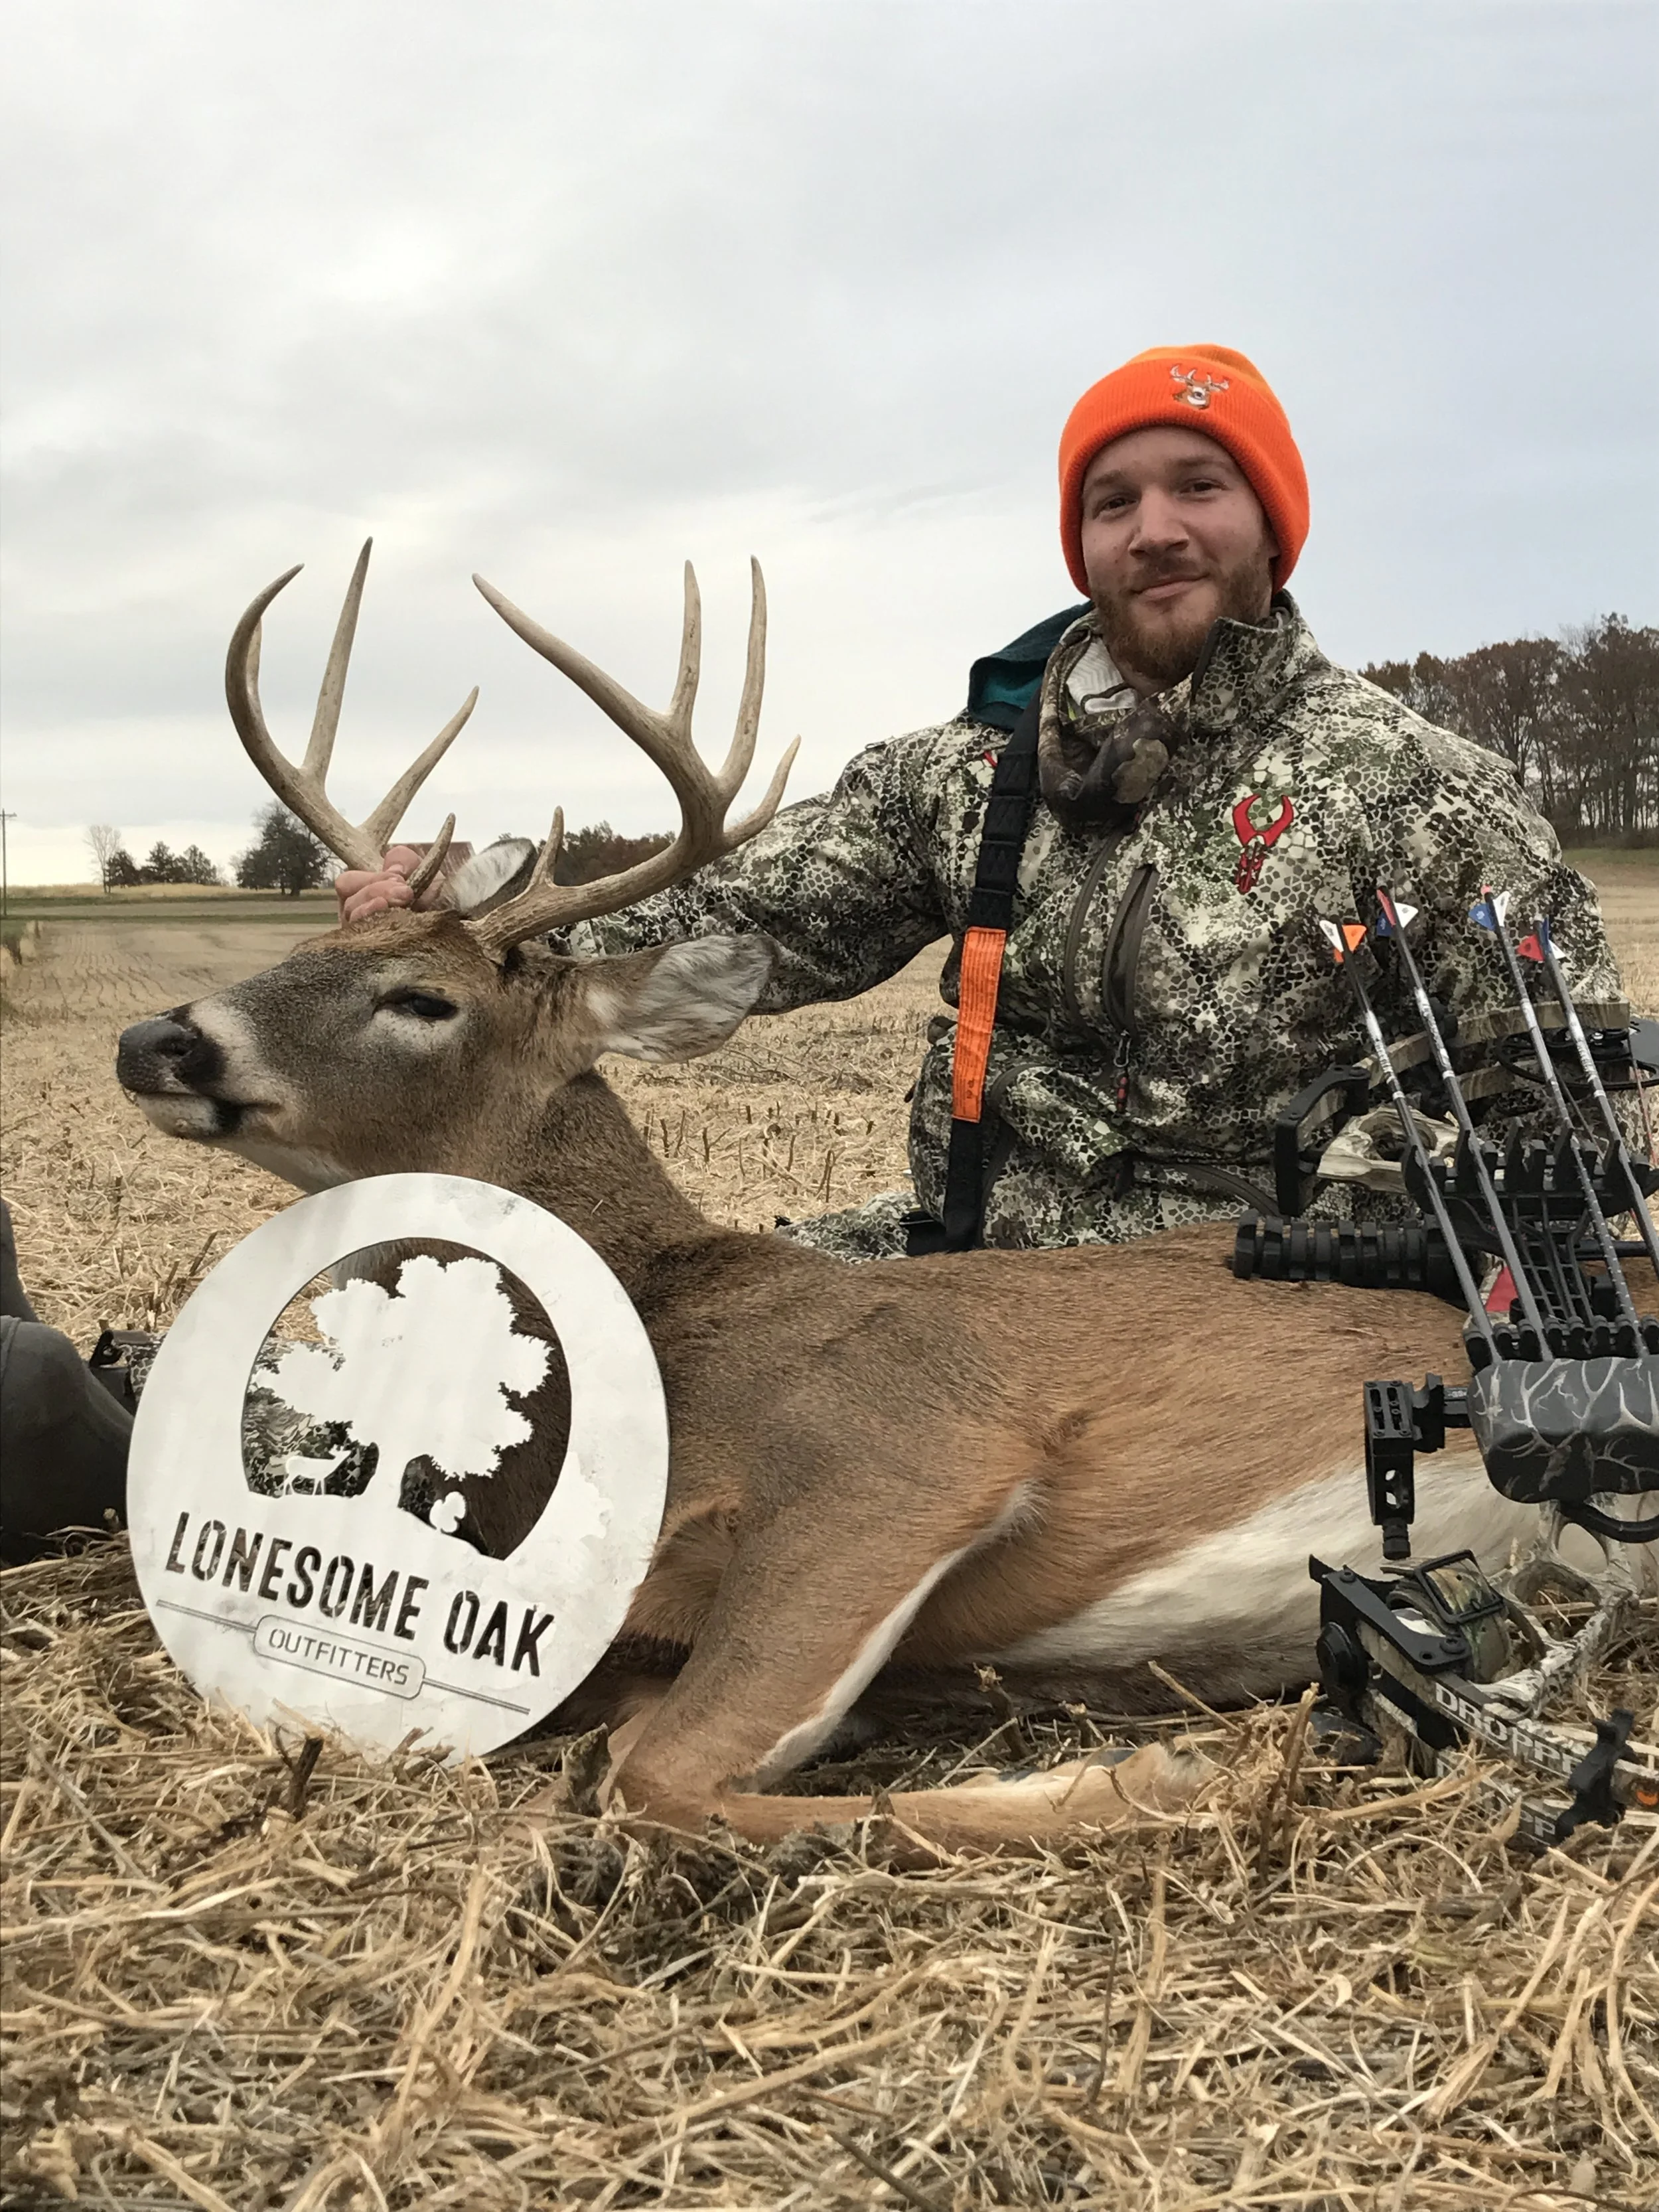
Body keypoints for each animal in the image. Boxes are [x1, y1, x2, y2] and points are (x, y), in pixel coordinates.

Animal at [115, 543, 1608, 1857]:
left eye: (423, 999)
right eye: (316, 940)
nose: (156, 1038)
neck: (655, 1329)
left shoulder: (899, 1451)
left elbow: (658, 1773)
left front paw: (1165, 1775)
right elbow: (632, 1741)